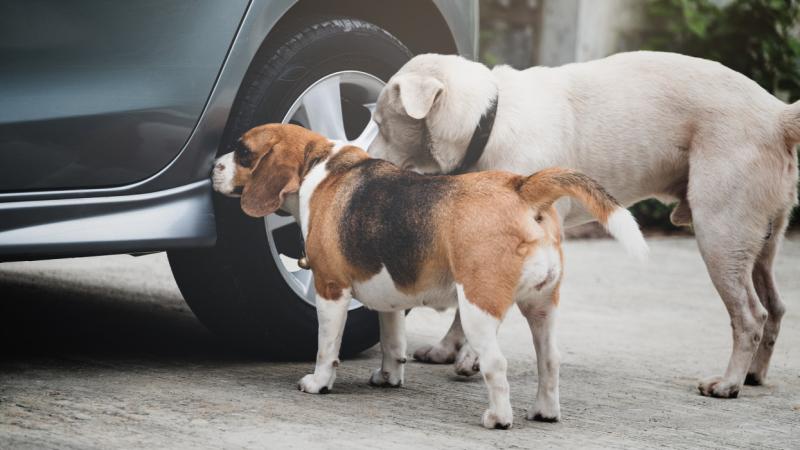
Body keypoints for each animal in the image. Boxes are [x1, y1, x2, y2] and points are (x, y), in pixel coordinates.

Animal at [211, 123, 644, 428]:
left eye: (244, 152)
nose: (213, 168)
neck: (316, 167)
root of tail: (522, 187)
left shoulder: (331, 289)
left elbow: (325, 348)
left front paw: (318, 384)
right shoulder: (387, 297)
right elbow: (392, 343)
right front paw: (389, 377)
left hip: (477, 308)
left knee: (496, 364)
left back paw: (498, 418)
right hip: (542, 306)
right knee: (549, 360)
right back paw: (544, 412)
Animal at [368, 51, 800, 400]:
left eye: (380, 122)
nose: (365, 157)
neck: (487, 121)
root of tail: (777, 115)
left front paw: (472, 356)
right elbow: (464, 304)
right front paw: (448, 349)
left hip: (720, 234)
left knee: (751, 315)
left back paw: (728, 383)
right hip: (759, 239)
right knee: (775, 307)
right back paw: (754, 375)